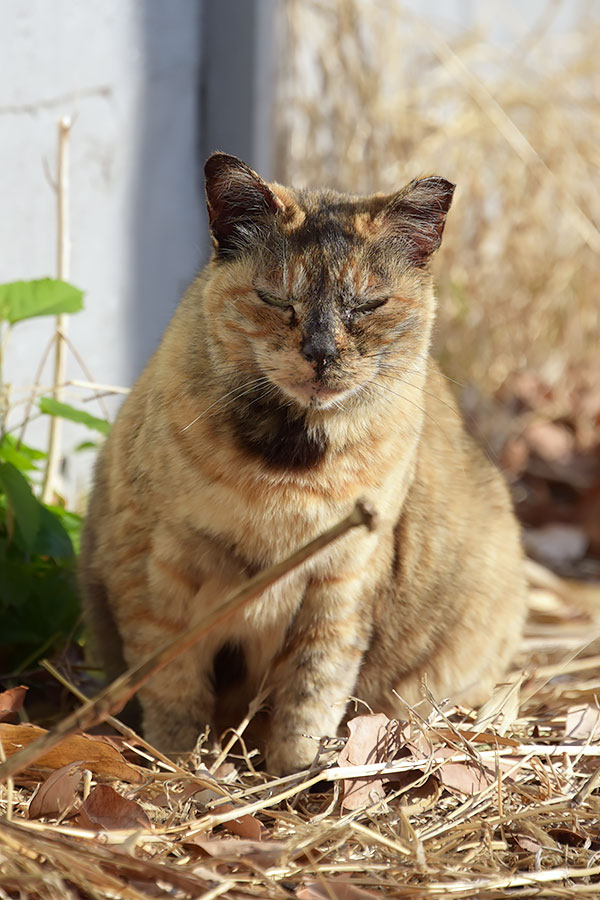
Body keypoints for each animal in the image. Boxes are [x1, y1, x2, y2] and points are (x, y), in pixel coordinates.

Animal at [79, 153, 524, 772]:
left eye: (368, 304)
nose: (321, 353)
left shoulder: (343, 581)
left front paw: (297, 772)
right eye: (275, 299)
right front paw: (182, 766)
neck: (290, 472)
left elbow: (313, 689)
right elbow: (172, 684)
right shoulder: (155, 567)